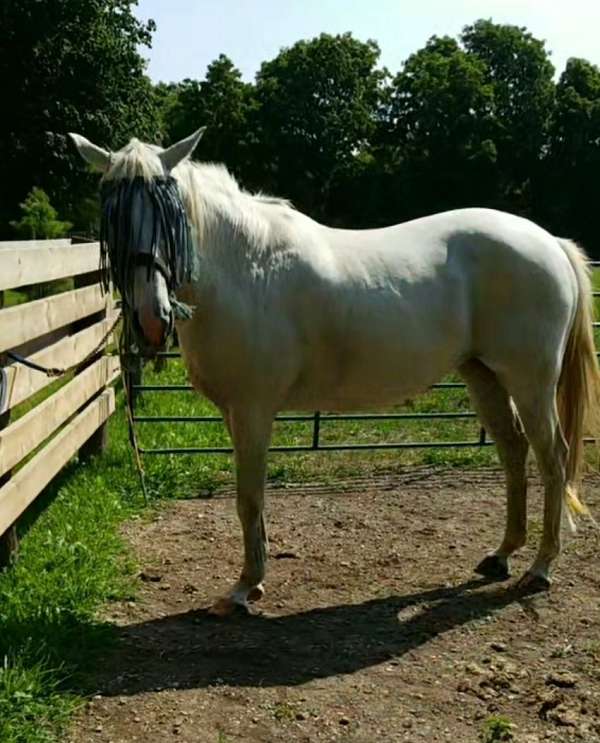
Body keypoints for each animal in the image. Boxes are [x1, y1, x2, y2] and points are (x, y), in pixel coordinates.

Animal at [70, 128, 599, 616]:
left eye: (170, 211)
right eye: (112, 215)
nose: (151, 317)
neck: (245, 269)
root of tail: (548, 241)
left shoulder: (253, 410)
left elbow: (248, 497)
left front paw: (243, 589)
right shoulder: (235, 413)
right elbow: (251, 499)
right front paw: (255, 579)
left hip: (531, 382)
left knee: (552, 457)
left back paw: (540, 567)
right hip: (483, 375)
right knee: (513, 452)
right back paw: (502, 554)